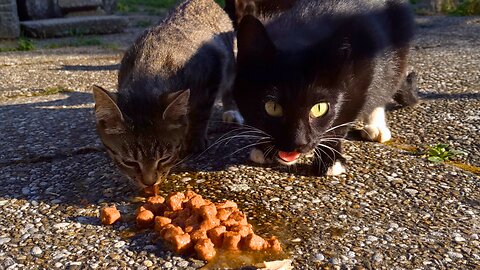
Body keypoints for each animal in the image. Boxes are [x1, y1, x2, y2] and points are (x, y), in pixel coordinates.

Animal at [92, 0, 242, 187]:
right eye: (129, 162)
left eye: (164, 158)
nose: (149, 183)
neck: (150, 67)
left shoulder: (211, 73)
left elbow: (201, 113)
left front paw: (195, 139)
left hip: (230, 63)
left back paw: (231, 112)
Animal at [234, 0, 418, 176]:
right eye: (272, 107)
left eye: (319, 108)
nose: (298, 142)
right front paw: (264, 148)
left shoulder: (362, 76)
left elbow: (343, 118)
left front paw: (331, 160)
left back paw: (376, 125)